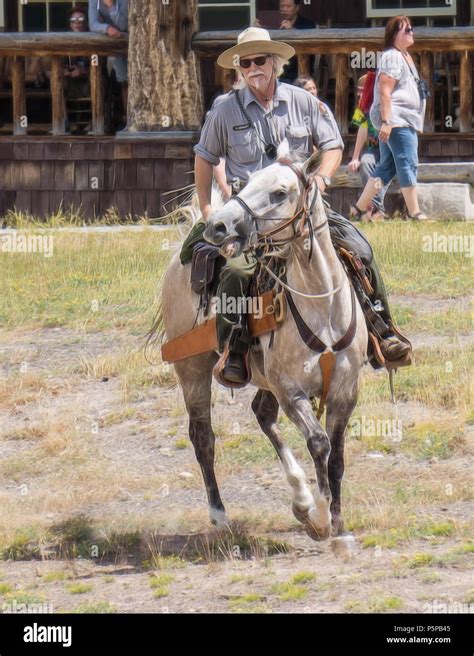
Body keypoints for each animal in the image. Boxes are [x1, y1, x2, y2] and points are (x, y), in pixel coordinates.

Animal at [159, 141, 366, 540]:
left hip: (260, 379)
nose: (218, 224)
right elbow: (319, 443)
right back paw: (220, 515)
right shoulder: (290, 390)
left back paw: (300, 498)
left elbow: (337, 456)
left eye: (280, 192)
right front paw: (321, 518)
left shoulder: (345, 393)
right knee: (202, 437)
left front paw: (335, 520)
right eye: (248, 181)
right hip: (191, 368)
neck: (322, 308)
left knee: (262, 414)